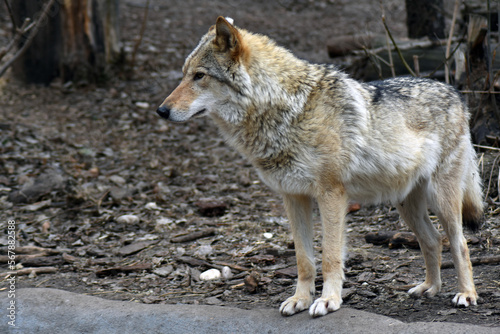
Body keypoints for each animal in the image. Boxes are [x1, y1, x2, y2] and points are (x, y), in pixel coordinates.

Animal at [157, 17, 484, 318]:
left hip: (442, 200)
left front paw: (328, 301)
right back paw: (429, 288)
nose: (161, 110)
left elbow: (329, 257)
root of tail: (455, 92)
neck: (287, 110)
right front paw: (299, 300)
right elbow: (304, 260)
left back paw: (467, 294)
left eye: (199, 76)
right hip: (406, 205)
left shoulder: (331, 195)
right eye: (184, 75)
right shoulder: (293, 197)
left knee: (460, 244)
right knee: (433, 240)